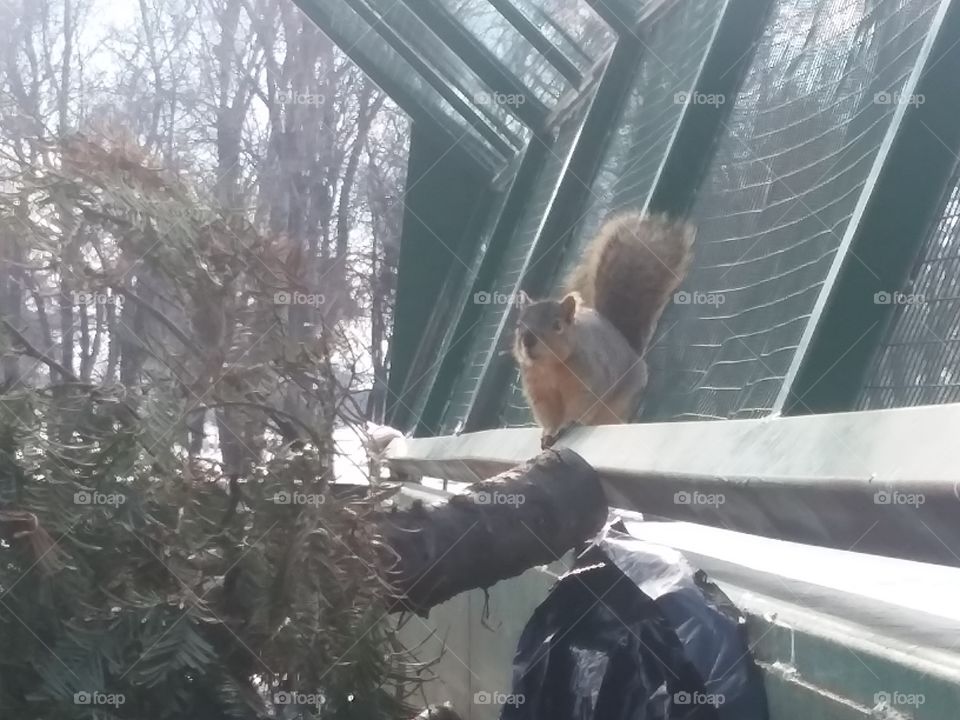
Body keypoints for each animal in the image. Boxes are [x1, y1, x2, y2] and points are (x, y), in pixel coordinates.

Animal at [513, 212, 695, 448]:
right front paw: (549, 432)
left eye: (557, 326)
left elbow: (580, 408)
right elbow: (548, 415)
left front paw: (566, 424)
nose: (528, 340)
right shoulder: (539, 392)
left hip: (622, 402)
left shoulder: (590, 381)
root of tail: (629, 347)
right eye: (519, 325)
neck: (550, 367)